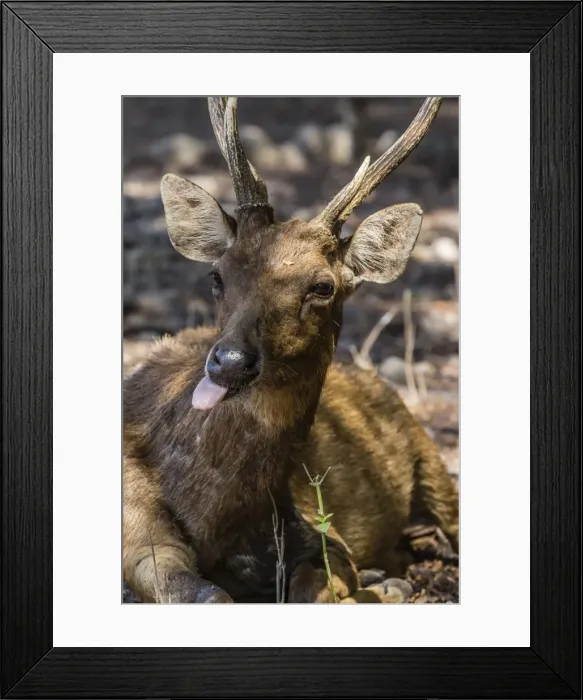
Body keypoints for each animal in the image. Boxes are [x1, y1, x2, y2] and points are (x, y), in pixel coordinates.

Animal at [123, 96, 458, 604]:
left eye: (322, 287)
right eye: (217, 274)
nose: (230, 362)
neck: (218, 519)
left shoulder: (321, 532)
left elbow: (313, 586)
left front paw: (371, 590)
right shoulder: (135, 528)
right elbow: (204, 592)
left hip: (434, 466)